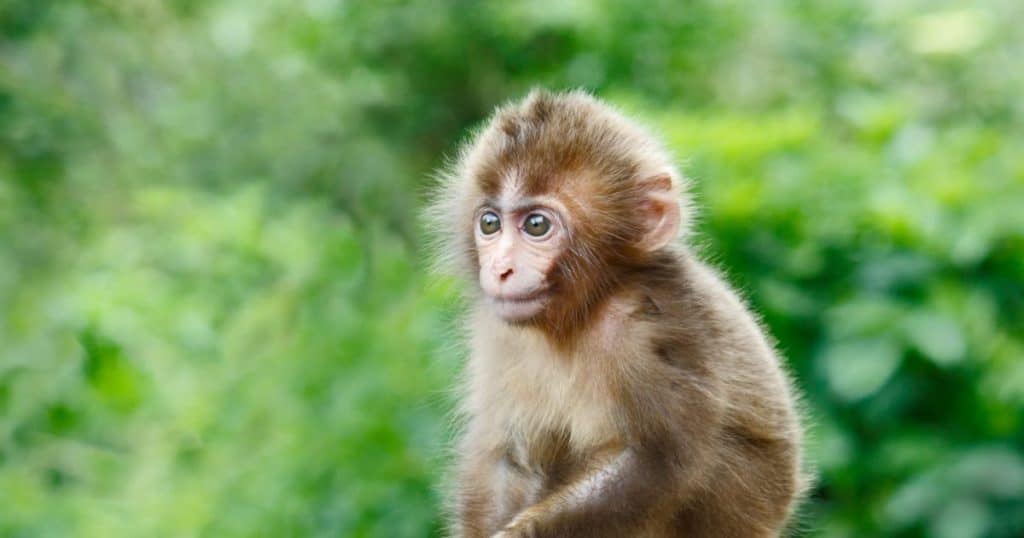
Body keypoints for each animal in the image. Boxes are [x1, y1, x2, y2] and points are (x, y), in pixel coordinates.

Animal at [423, 90, 806, 532]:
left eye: (536, 225)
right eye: (489, 223)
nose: (501, 268)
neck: (584, 310)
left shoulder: (652, 323)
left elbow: (656, 462)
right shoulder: (498, 331)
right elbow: (506, 455)